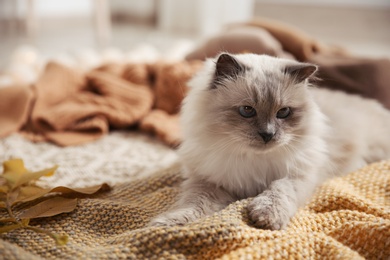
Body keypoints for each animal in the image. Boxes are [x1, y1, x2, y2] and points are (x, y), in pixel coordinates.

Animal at [149, 52, 390, 230]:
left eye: (283, 112)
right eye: (247, 110)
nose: (268, 134)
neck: (251, 160)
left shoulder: (297, 175)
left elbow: (278, 190)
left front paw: (266, 217)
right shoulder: (208, 182)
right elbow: (194, 205)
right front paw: (166, 224)